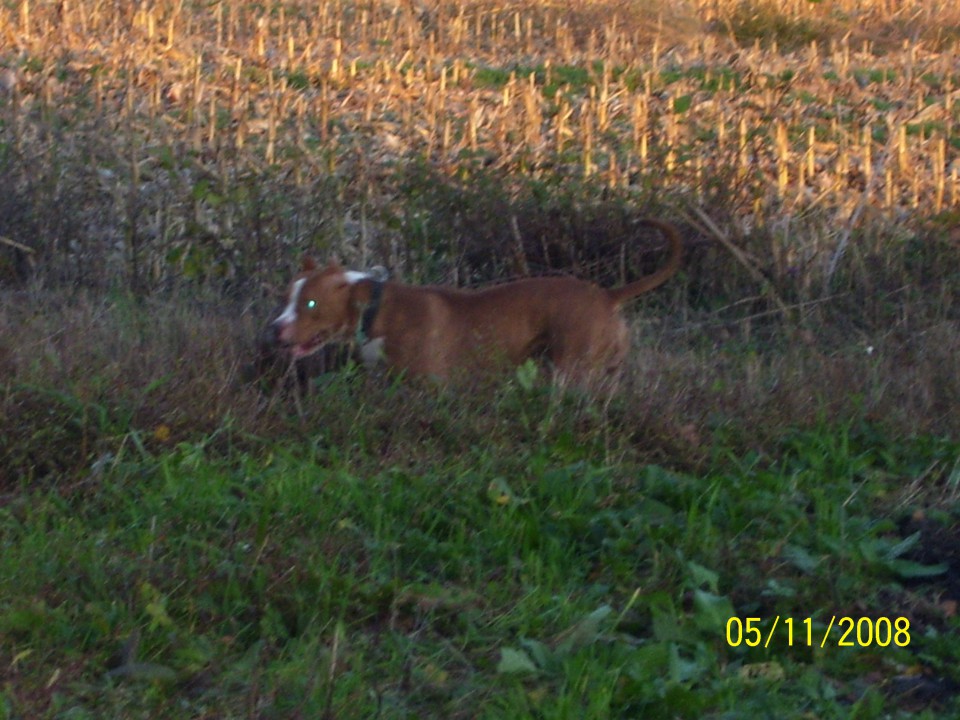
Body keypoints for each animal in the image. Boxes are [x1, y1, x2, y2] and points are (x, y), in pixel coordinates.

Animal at [272, 218, 684, 388]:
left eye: (310, 304)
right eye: (286, 298)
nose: (274, 329)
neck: (374, 307)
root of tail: (605, 294)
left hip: (572, 367)